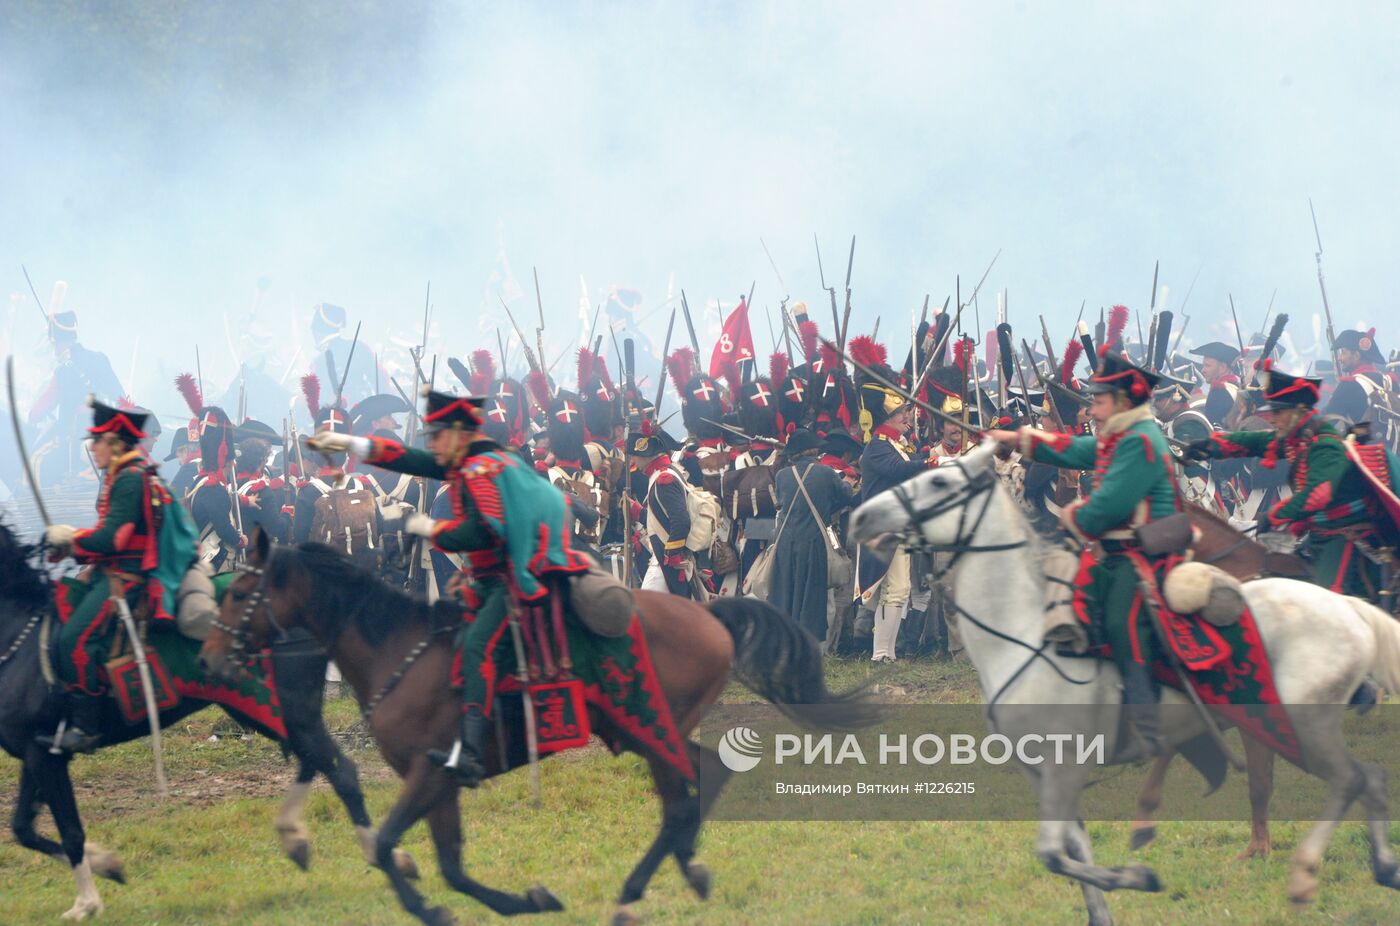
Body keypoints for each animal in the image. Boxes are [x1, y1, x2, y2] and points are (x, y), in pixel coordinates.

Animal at [0, 521, 414, 918]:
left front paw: (87, 902)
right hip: (273, 713)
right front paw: (107, 865)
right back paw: (298, 837)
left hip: (289, 710)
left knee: (341, 771)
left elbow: (70, 831)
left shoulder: (47, 756)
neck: (22, 638)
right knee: (314, 762)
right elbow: (23, 828)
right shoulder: (39, 754)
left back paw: (382, 855)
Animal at [200, 526, 873, 924]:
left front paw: (439, 909)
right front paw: (524, 899)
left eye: (235, 593)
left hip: (651, 731)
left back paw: (637, 892)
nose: (207, 659)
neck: (400, 649)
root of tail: (710, 616)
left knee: (683, 798)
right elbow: (447, 864)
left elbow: (389, 846)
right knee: (700, 784)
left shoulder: (429, 773)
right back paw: (684, 871)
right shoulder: (440, 781)